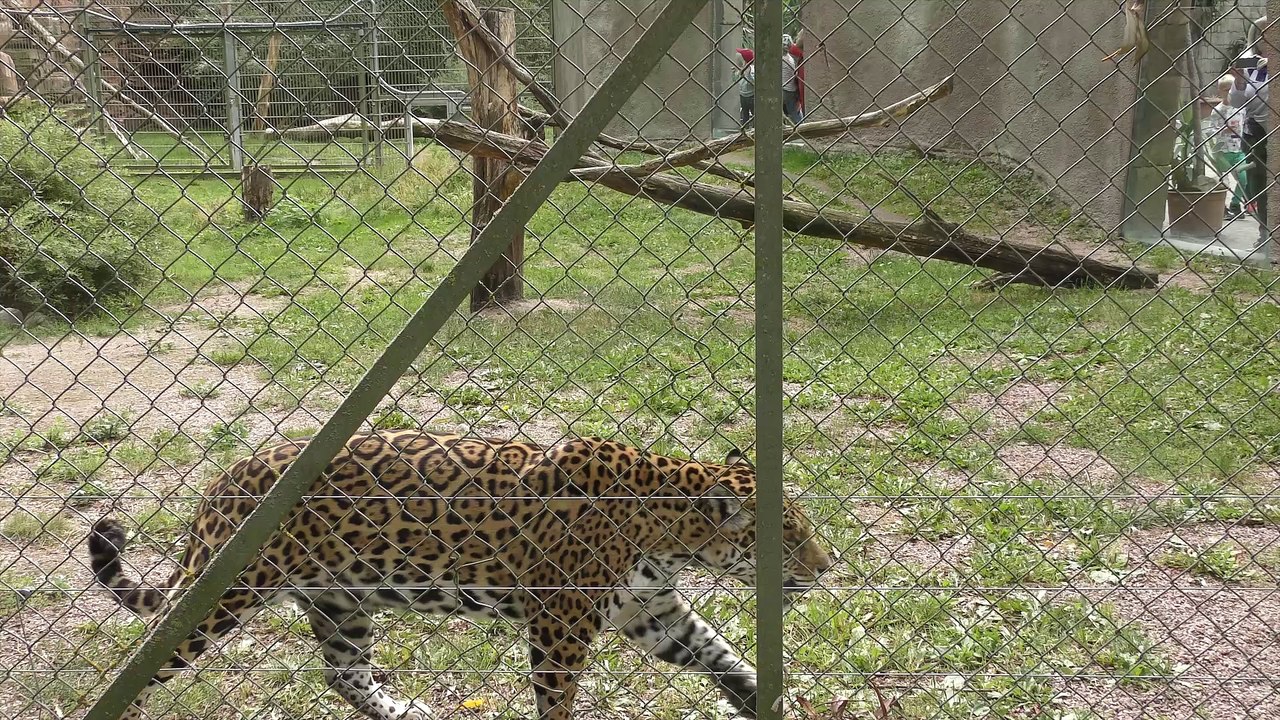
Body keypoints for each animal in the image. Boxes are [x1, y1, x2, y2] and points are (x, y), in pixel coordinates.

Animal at [88, 430, 833, 720]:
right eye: (788, 536)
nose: (826, 570)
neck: (666, 532)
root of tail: (225, 481)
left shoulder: (653, 612)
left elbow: (720, 654)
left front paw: (763, 696)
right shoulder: (561, 626)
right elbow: (557, 701)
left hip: (340, 599)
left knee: (343, 673)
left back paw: (403, 711)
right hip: (221, 597)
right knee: (140, 659)